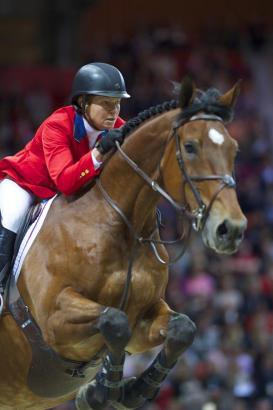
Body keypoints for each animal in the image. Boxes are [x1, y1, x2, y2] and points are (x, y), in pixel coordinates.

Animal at [0, 77, 245, 410]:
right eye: (190, 147)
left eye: (234, 149)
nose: (231, 229)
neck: (119, 224)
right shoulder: (54, 320)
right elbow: (115, 320)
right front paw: (104, 391)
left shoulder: (146, 318)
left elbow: (182, 329)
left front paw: (130, 390)